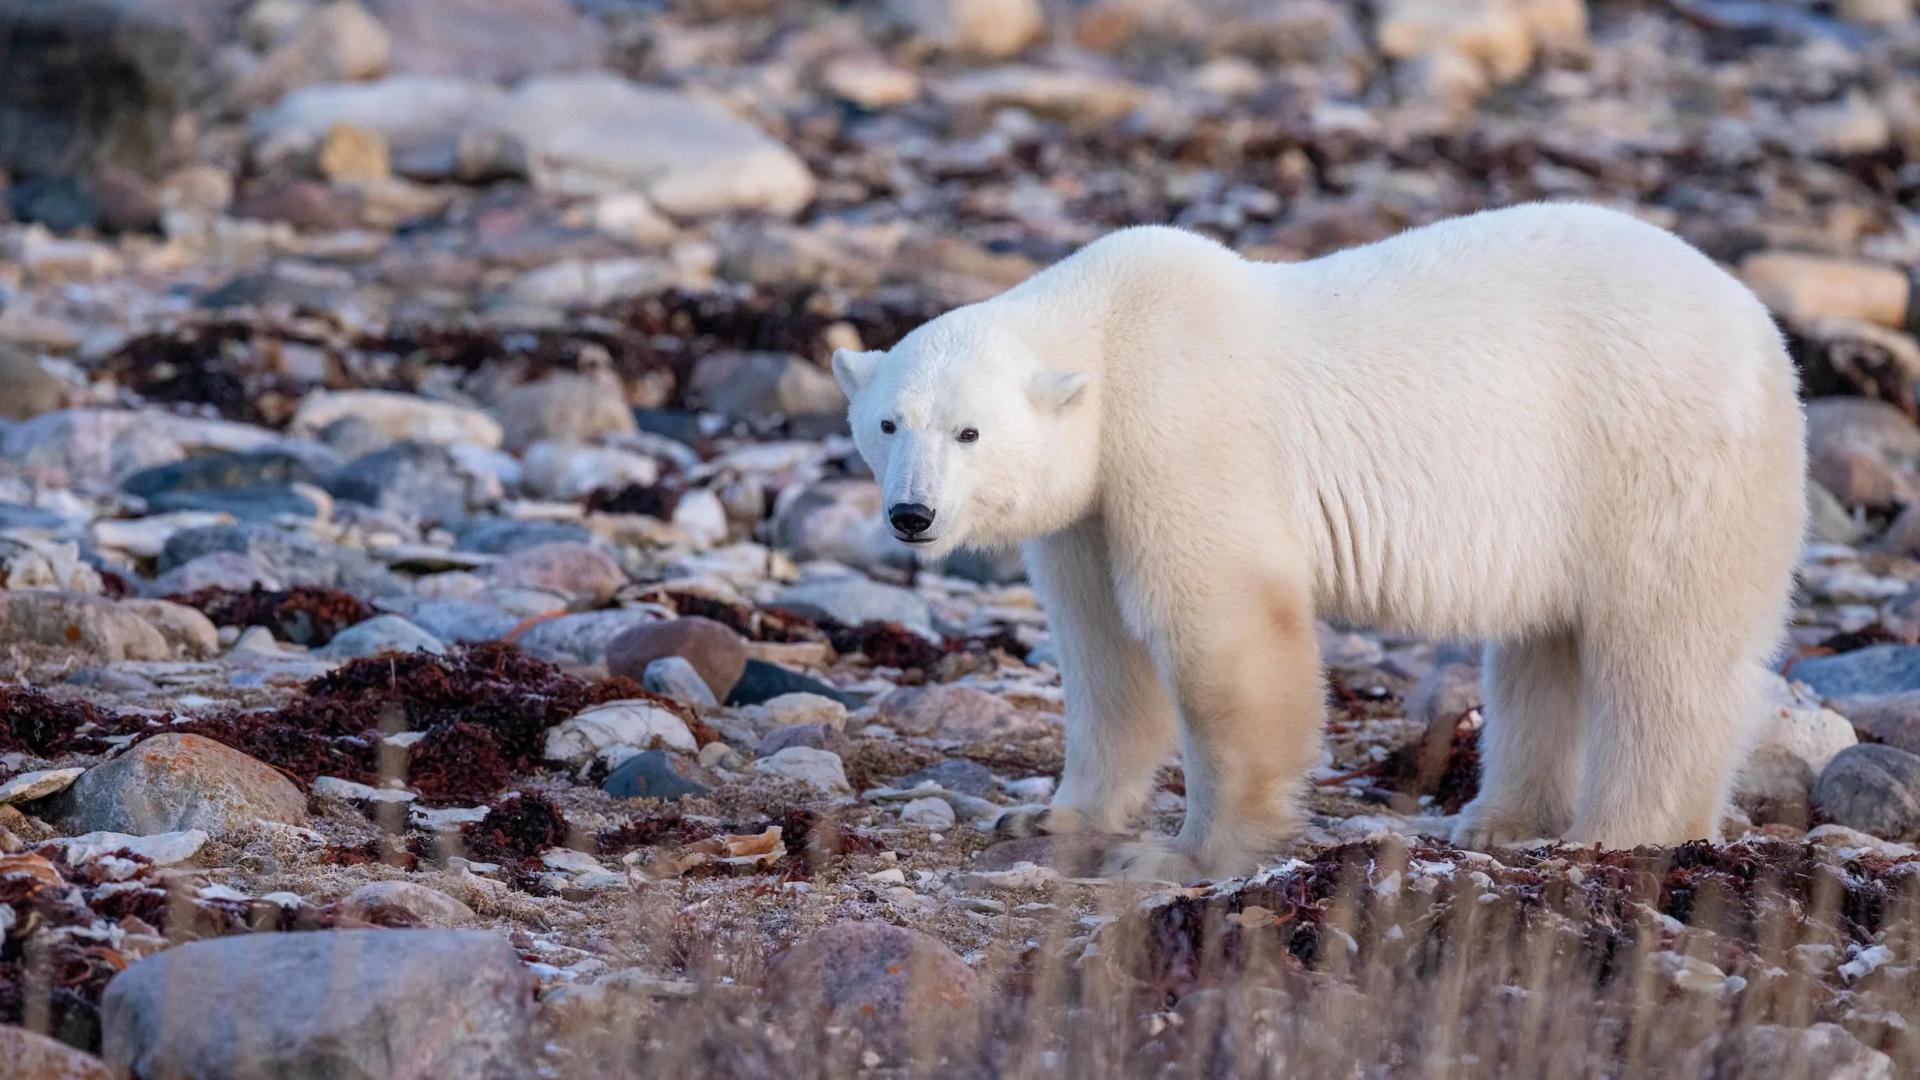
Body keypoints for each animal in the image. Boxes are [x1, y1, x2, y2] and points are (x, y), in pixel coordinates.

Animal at [831, 202, 1807, 882]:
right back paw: (1496, 818)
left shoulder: (1185, 432)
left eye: (970, 432)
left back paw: (1620, 830)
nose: (912, 515)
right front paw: (1047, 818)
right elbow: (1104, 653)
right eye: (888, 422)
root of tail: (1760, 329)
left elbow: (1221, 630)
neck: (1111, 331)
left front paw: (1187, 854)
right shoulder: (1092, 507)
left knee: (1662, 654)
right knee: (1545, 647)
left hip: (1654, 457)